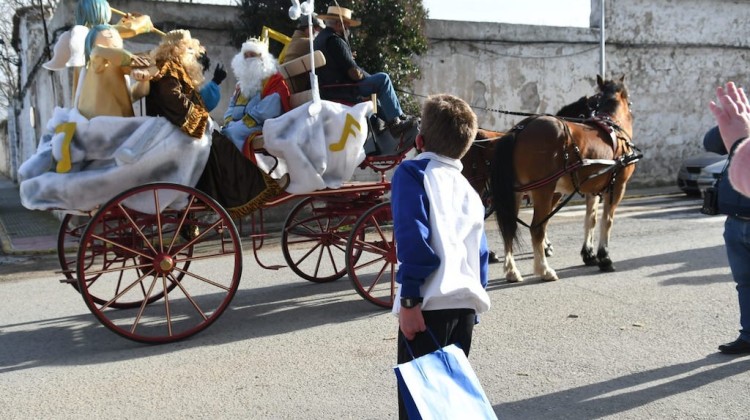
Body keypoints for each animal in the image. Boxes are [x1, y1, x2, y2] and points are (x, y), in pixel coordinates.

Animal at [490, 76, 644, 282]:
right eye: (630, 102)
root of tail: (519, 129)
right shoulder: (618, 186)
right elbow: (607, 220)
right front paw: (604, 257)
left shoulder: (592, 189)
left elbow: (590, 219)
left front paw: (589, 254)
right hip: (544, 190)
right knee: (536, 228)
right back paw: (544, 270)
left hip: (516, 193)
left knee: (510, 229)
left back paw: (512, 271)